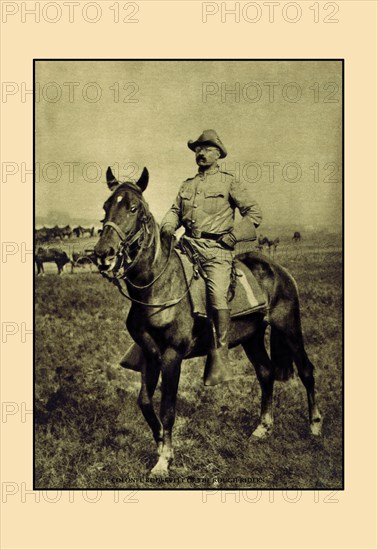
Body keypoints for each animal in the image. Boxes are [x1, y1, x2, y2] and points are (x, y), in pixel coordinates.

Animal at [94, 167, 322, 478]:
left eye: (133, 208)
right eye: (106, 206)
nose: (102, 255)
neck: (158, 286)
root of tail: (279, 270)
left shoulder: (172, 355)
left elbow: (167, 408)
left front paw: (164, 460)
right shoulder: (150, 355)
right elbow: (144, 402)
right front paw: (160, 444)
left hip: (288, 328)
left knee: (307, 371)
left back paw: (314, 425)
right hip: (252, 337)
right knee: (266, 373)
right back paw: (262, 428)